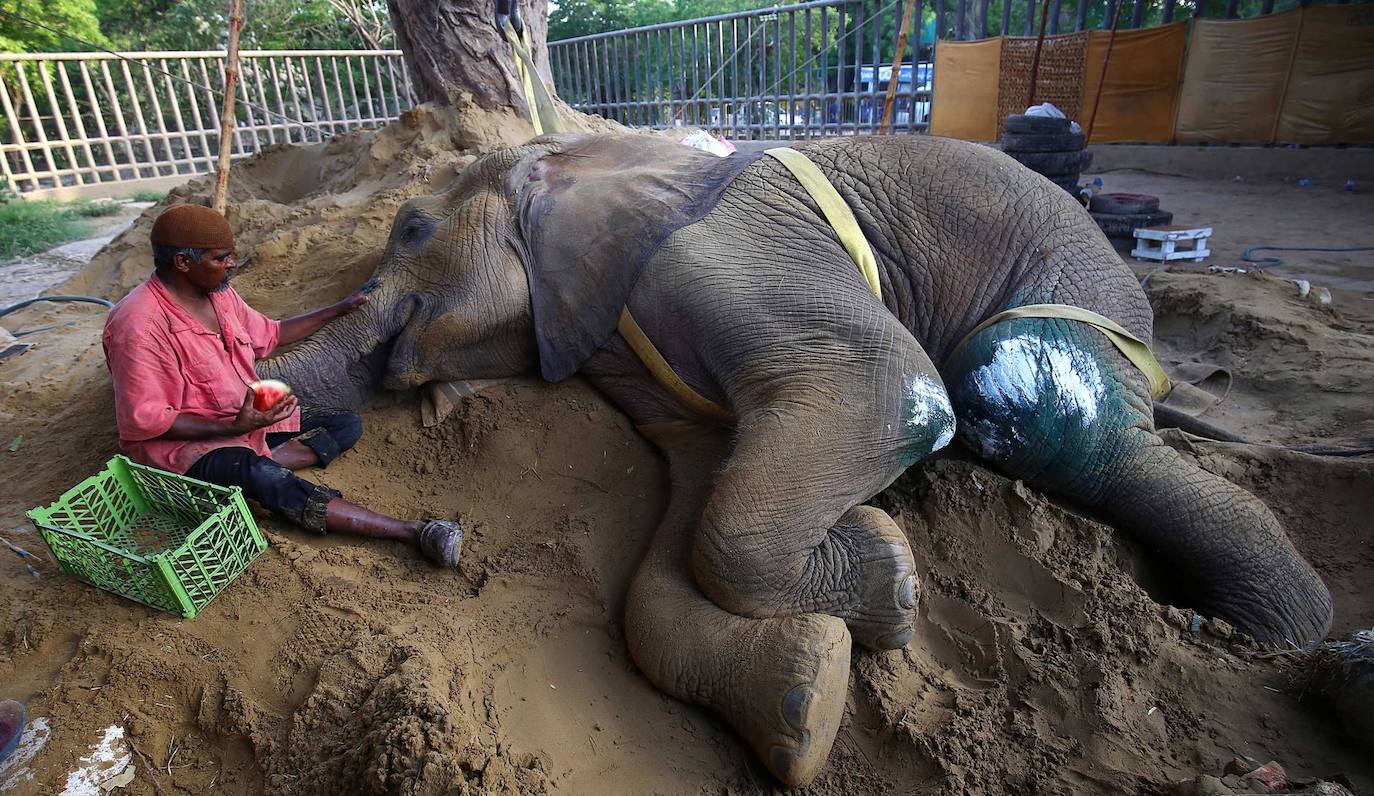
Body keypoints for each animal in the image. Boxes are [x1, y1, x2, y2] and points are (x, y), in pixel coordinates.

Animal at [263, 132, 1333, 786]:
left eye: (412, 228)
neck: (582, 158)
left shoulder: (715, 259)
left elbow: (882, 392)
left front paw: (890, 587)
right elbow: (682, 540)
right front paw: (811, 694)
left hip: (1070, 286)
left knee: (1038, 412)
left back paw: (1273, 635)